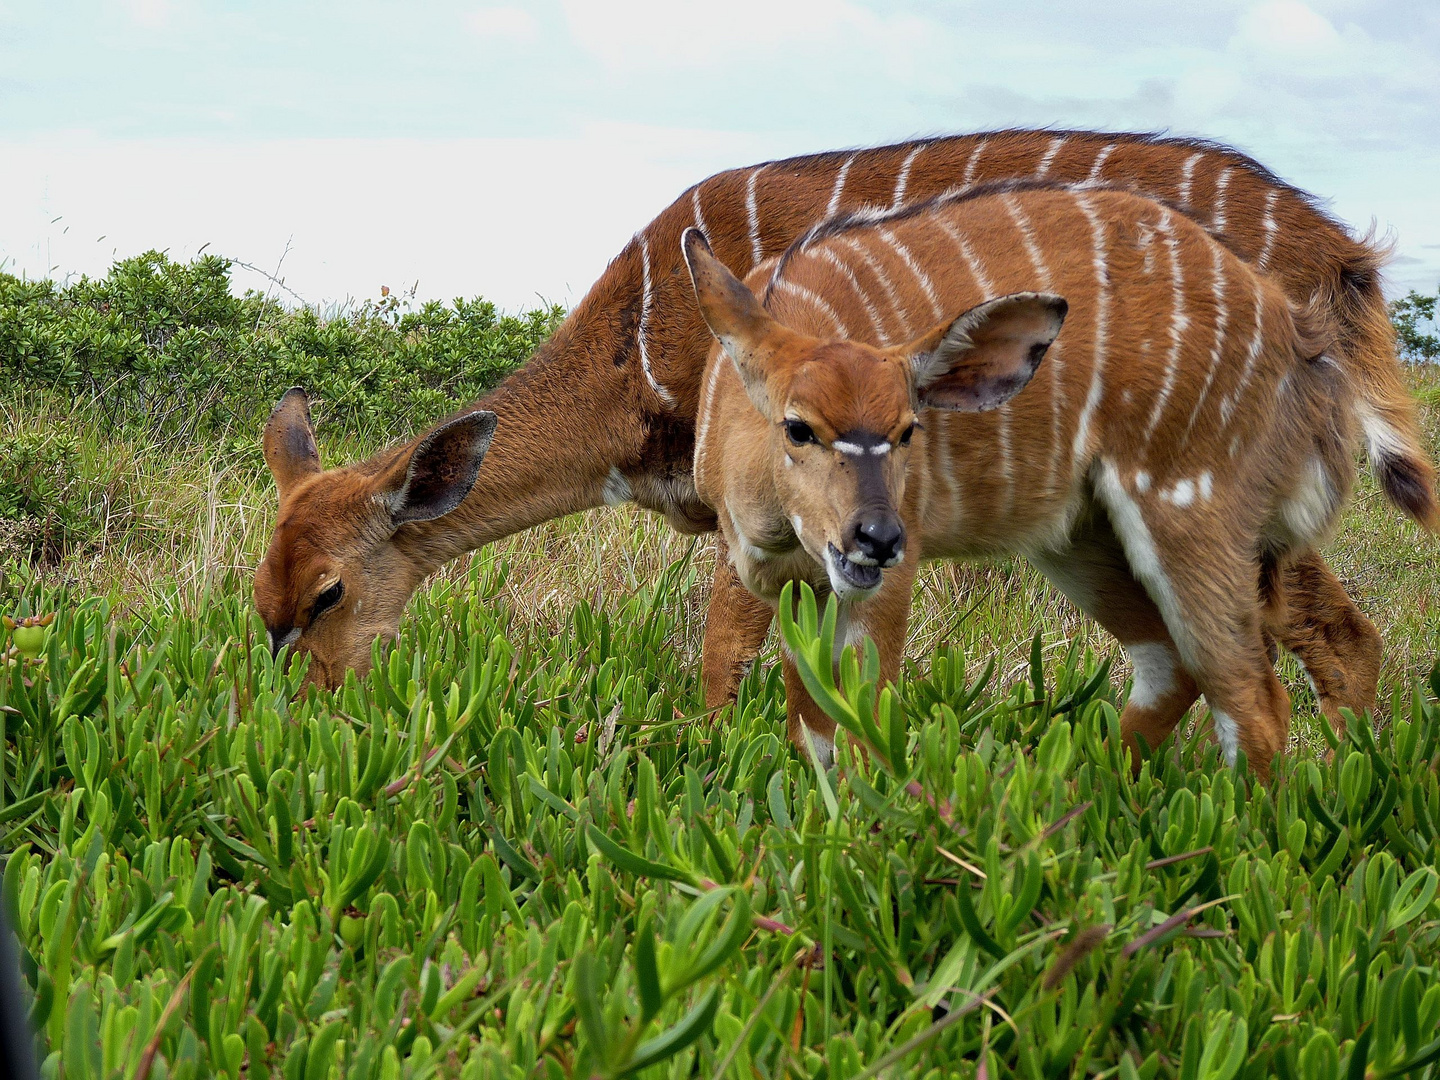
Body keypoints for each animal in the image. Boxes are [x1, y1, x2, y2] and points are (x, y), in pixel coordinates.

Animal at [250, 131, 1428, 722]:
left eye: (328, 595)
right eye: (260, 605)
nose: (308, 709)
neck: (640, 341)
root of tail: (1339, 259)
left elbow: (727, 654)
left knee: (1333, 638)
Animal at [685, 182, 1440, 783]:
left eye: (908, 430)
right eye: (798, 427)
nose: (875, 537)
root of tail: (1299, 334)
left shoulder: (883, 580)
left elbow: (863, 718)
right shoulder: (796, 584)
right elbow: (811, 726)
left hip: (1188, 509)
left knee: (1251, 692)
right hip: (1080, 536)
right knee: (1172, 664)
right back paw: (1076, 788)